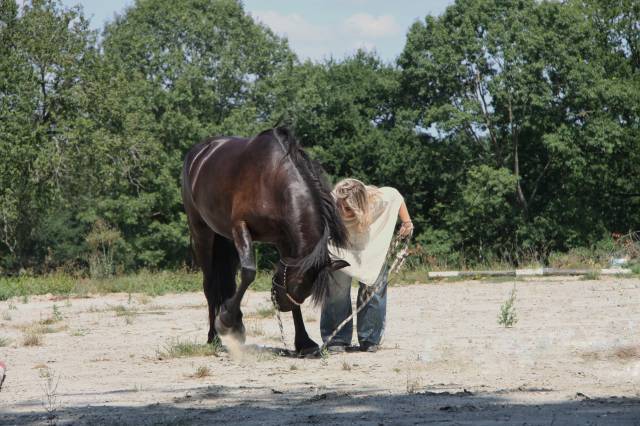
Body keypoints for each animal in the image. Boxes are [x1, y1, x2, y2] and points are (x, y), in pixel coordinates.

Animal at [181, 127, 350, 355]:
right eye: (299, 283)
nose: (281, 304)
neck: (272, 178)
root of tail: (198, 154)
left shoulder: (284, 239)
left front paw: (304, 342)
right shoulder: (240, 227)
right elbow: (248, 273)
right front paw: (226, 320)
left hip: (223, 237)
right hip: (202, 232)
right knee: (210, 284)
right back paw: (214, 336)